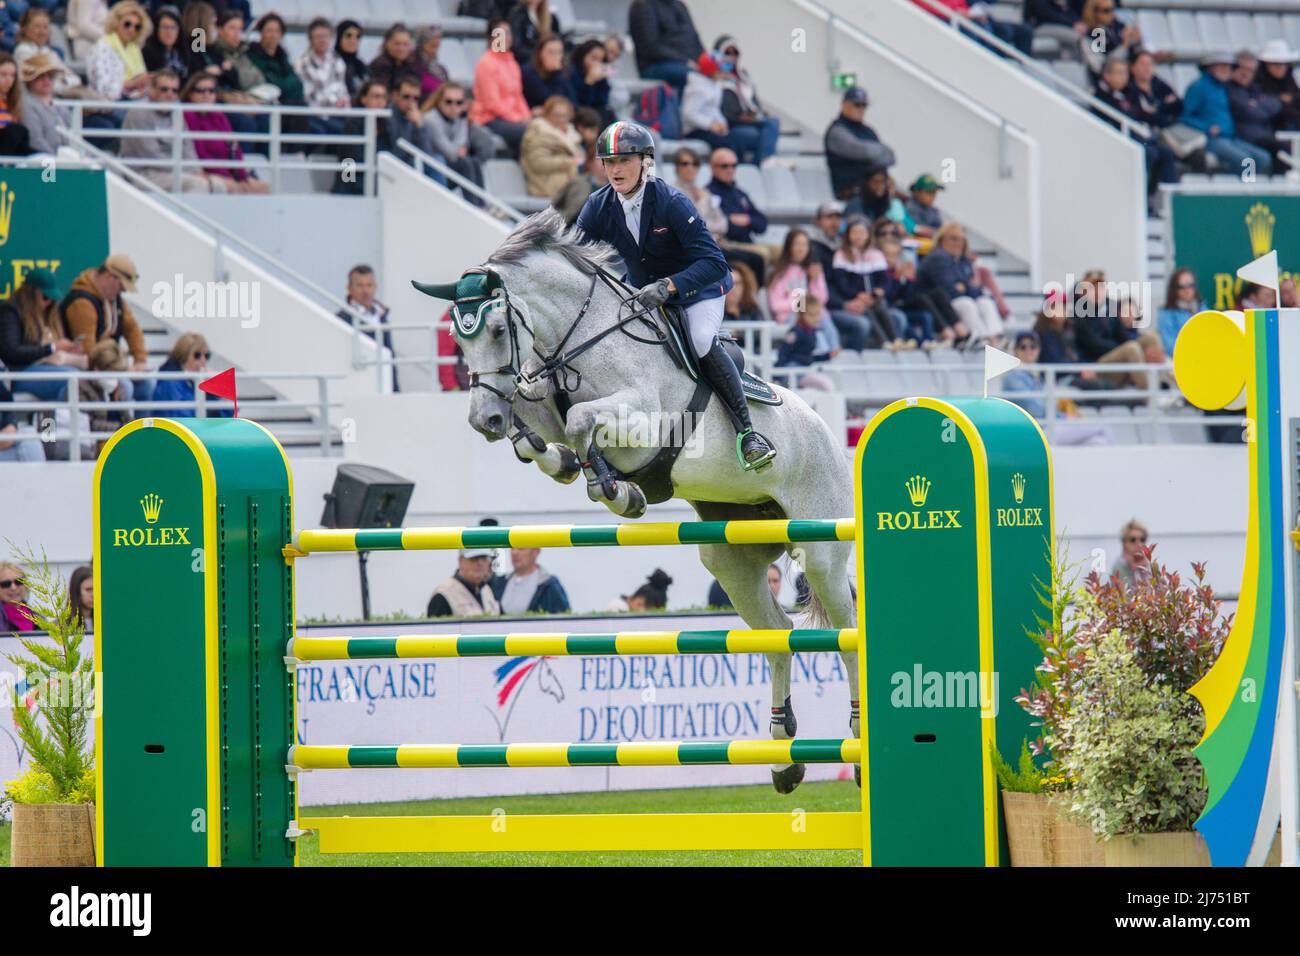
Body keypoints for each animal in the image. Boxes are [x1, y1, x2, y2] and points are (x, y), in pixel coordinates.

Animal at [418, 209, 863, 790]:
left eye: (496, 329)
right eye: (455, 336)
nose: (482, 420)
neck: (581, 343)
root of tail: (833, 435)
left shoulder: (643, 422)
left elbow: (583, 423)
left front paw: (616, 489)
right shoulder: (542, 404)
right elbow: (540, 434)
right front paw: (576, 469)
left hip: (822, 552)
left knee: (846, 631)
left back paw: (854, 739)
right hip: (732, 560)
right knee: (778, 634)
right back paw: (783, 756)